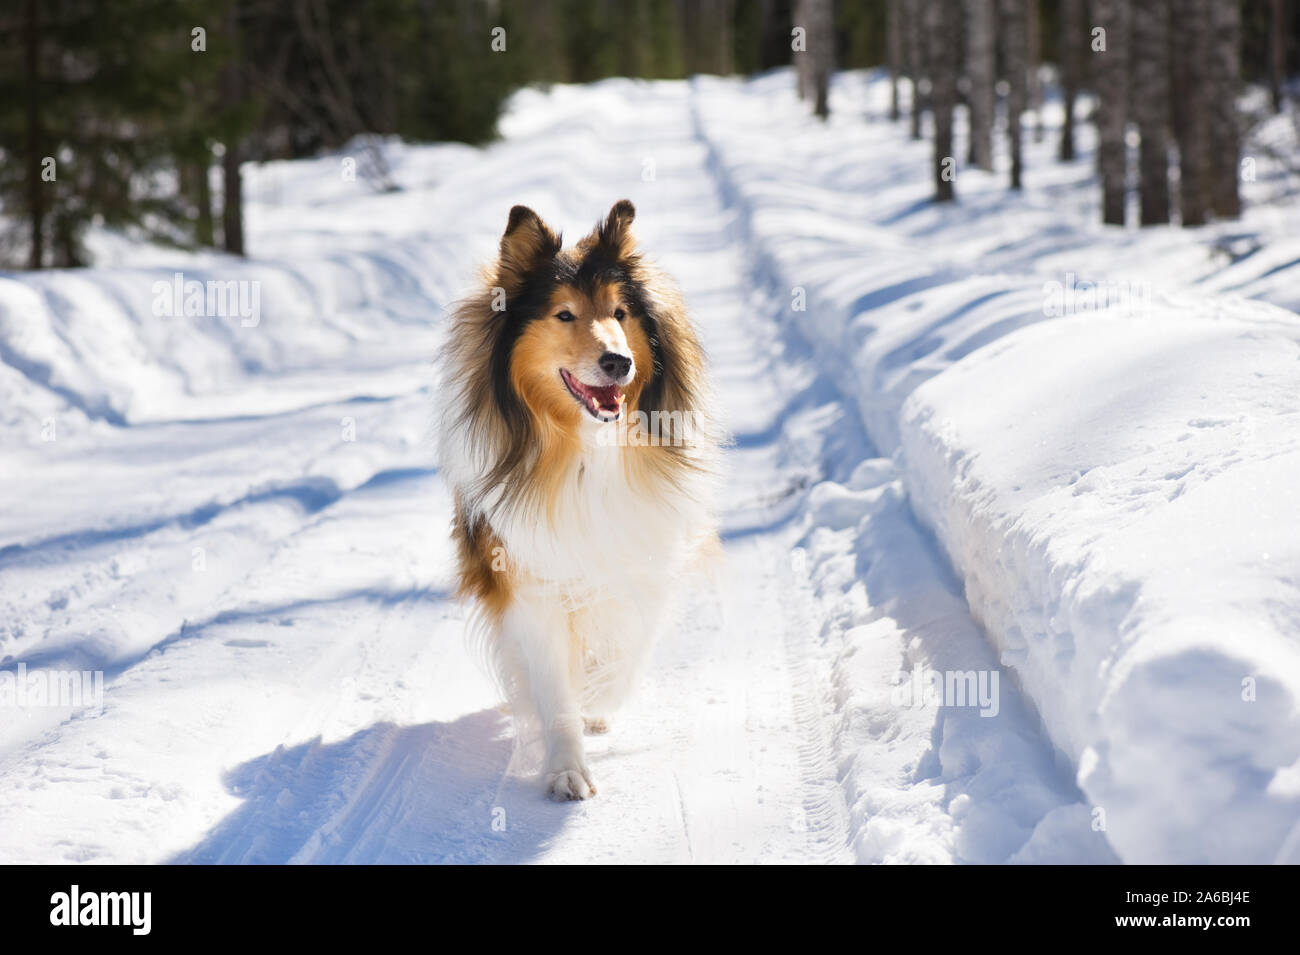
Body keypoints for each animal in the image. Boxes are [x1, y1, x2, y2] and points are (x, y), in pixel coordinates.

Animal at [436, 200, 722, 800]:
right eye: (563, 315)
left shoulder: (642, 555)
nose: (618, 362)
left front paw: (598, 698)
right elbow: (553, 684)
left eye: (619, 312)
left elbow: (625, 652)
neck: (587, 448)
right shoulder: (529, 578)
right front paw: (565, 767)